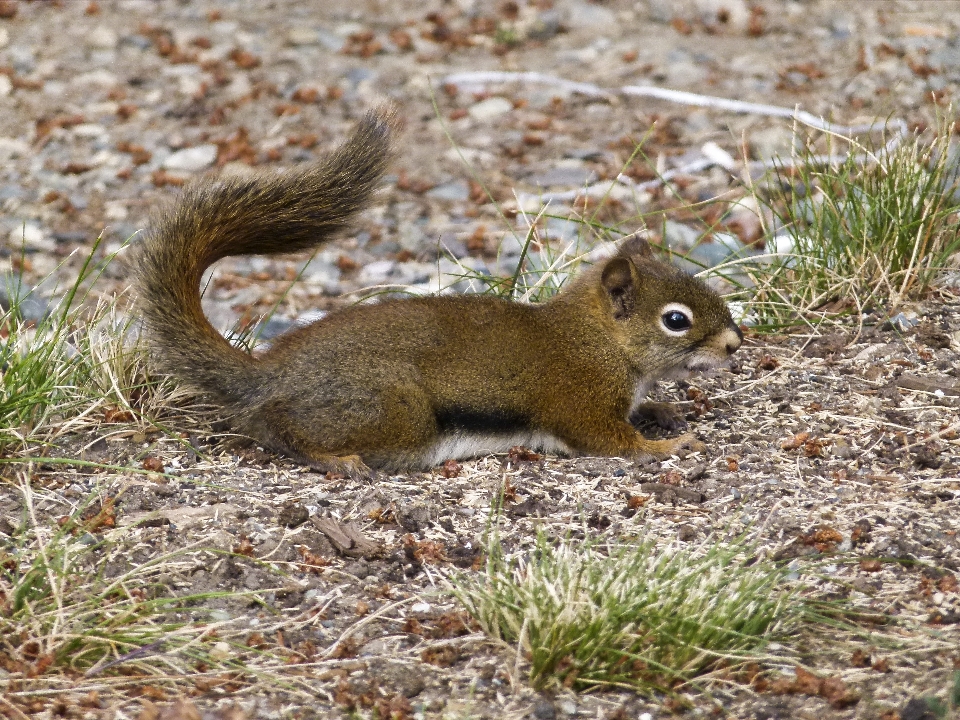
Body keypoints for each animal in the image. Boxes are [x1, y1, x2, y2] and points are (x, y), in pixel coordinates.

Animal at [137, 109, 744, 476]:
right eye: (676, 320)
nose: (736, 344)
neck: (596, 339)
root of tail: (267, 375)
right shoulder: (580, 403)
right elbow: (611, 442)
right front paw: (667, 445)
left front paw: (662, 411)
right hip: (394, 411)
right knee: (281, 427)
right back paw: (338, 459)